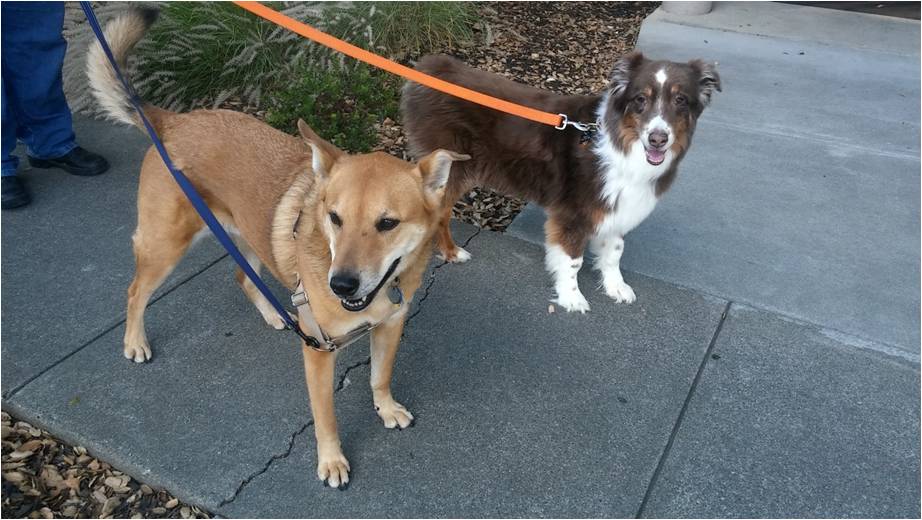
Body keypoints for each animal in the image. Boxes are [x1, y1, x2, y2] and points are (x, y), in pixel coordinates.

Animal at [87, 7, 468, 488]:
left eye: (387, 223)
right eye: (334, 217)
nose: (341, 286)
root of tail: (174, 120)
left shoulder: (390, 327)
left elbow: (379, 378)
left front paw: (386, 409)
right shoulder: (319, 353)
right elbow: (326, 418)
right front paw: (331, 461)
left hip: (250, 236)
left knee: (242, 276)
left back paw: (275, 313)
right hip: (165, 245)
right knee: (137, 291)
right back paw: (135, 342)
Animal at [402, 52, 720, 310]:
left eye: (681, 100)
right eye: (640, 99)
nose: (658, 138)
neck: (619, 143)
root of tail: (431, 66)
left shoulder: (615, 208)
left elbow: (614, 252)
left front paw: (615, 287)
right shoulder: (573, 214)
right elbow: (573, 260)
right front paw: (572, 298)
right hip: (452, 169)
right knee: (440, 214)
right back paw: (451, 252)